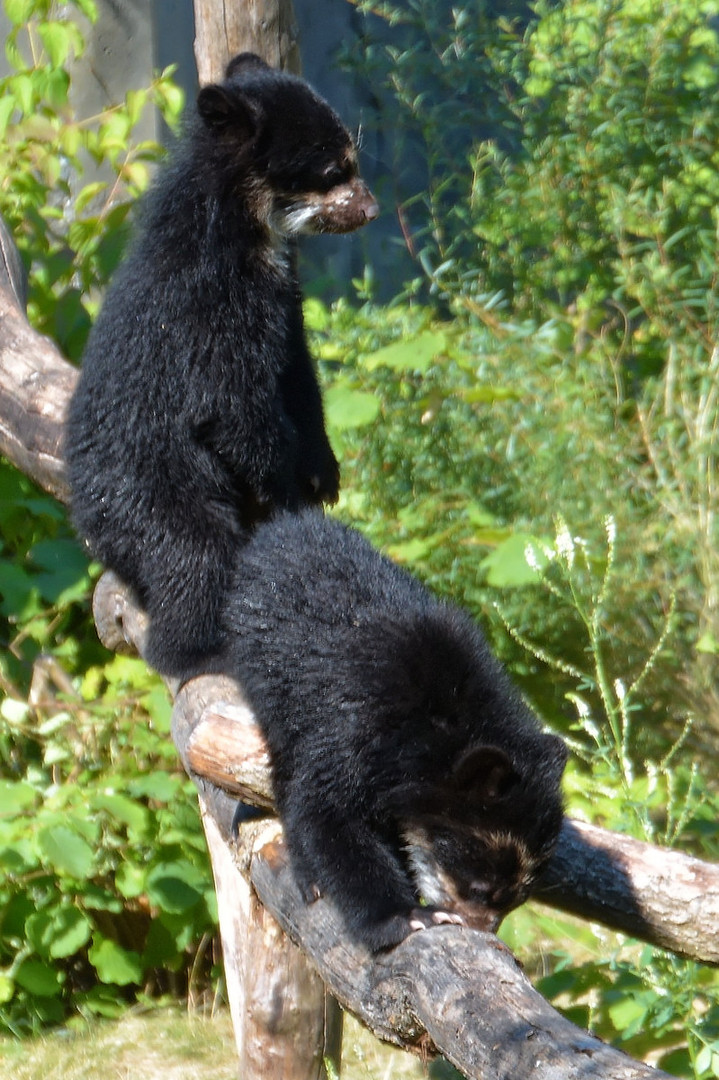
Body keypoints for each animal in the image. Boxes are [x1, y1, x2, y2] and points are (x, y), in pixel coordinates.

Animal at [63, 54, 375, 678]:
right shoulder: (211, 306)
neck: (248, 230)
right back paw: (199, 650)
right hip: (147, 490)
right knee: (194, 557)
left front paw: (324, 474)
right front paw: (288, 495)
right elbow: (233, 408)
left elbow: (299, 377)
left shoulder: (285, 303)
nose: (370, 209)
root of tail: (86, 524)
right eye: (334, 169)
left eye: (350, 161)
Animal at [224, 509, 565, 950]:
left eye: (518, 899)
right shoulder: (354, 726)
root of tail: (282, 525)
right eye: (480, 888)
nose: (485, 932)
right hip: (268, 679)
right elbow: (327, 812)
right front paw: (407, 917)